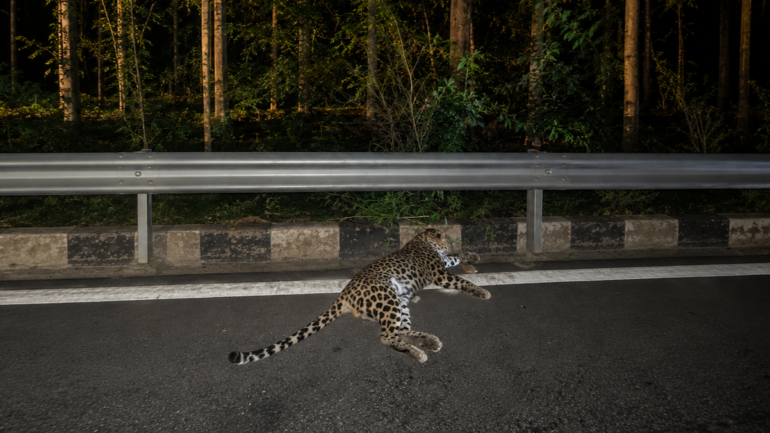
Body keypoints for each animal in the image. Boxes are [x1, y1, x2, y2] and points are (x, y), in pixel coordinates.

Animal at [228, 228, 491, 365]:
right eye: (448, 239)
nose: (450, 243)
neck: (421, 239)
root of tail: (346, 290)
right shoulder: (438, 273)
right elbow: (461, 280)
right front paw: (481, 291)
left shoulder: (443, 264)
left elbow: (457, 259)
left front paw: (472, 256)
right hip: (389, 299)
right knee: (386, 337)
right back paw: (420, 351)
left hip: (400, 302)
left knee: (400, 331)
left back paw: (427, 341)